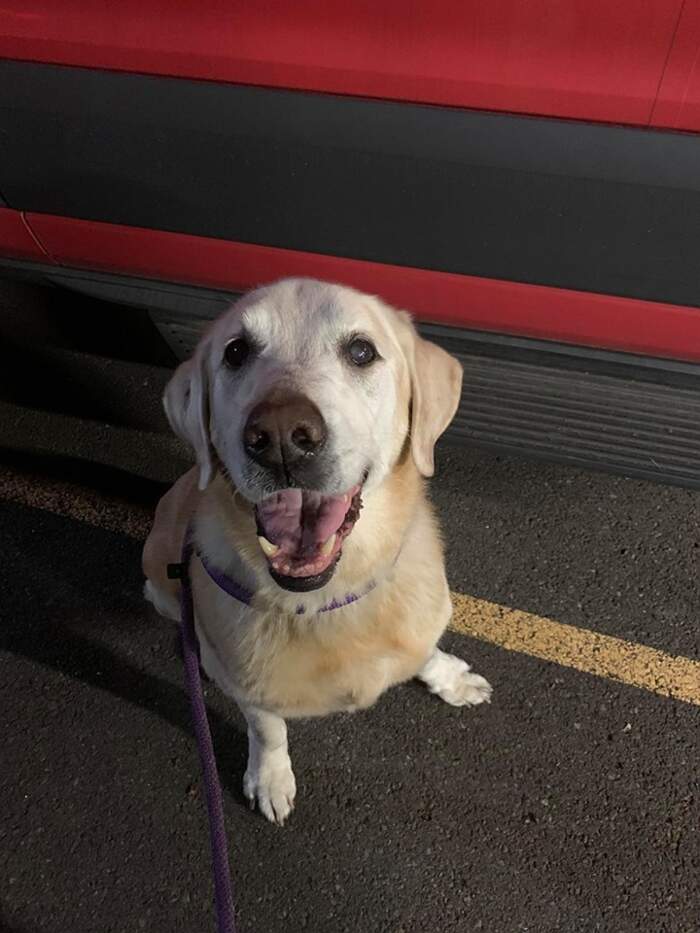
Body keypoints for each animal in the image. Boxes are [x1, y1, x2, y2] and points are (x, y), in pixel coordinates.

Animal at [142, 276, 492, 824]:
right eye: (236, 351)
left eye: (362, 350)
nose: (281, 436)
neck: (326, 600)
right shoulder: (250, 687)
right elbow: (268, 729)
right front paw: (270, 779)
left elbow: (426, 650)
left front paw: (451, 679)